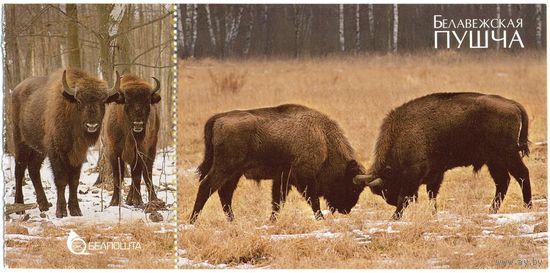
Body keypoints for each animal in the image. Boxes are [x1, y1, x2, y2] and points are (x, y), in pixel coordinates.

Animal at [10, 68, 121, 217]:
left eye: (103, 101)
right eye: (79, 101)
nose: (91, 125)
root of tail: (16, 90)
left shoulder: (78, 154)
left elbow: (74, 181)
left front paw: (75, 210)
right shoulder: (56, 153)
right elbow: (61, 180)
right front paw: (61, 211)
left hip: (39, 150)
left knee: (33, 169)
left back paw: (44, 205)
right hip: (21, 143)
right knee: (19, 171)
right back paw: (20, 206)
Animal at [102, 73, 165, 209]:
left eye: (147, 102)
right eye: (127, 102)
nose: (138, 124)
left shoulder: (139, 151)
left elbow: (137, 175)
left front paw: (137, 201)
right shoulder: (114, 152)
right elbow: (117, 177)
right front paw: (114, 202)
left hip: (152, 149)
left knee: (147, 173)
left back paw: (153, 199)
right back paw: (129, 199)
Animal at [191, 103, 376, 222]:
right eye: (353, 187)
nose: (346, 209)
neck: (323, 138)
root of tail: (218, 118)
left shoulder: (282, 178)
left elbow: (277, 201)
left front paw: (272, 220)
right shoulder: (304, 177)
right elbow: (313, 200)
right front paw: (321, 219)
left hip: (234, 173)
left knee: (225, 194)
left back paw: (232, 221)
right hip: (225, 168)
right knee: (207, 187)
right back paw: (193, 221)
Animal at [356, 92, 532, 219]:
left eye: (386, 188)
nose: (390, 202)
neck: (402, 134)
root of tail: (514, 104)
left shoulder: (413, 176)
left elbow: (406, 198)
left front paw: (395, 217)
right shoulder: (435, 173)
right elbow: (431, 195)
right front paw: (433, 215)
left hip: (508, 155)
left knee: (522, 175)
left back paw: (527, 207)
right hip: (494, 161)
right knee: (503, 182)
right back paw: (492, 211)